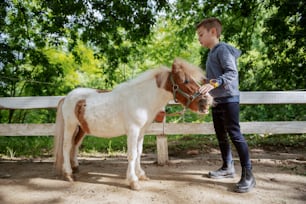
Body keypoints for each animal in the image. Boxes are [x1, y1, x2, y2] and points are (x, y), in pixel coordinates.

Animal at [54, 58, 213, 190]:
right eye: (185, 80)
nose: (206, 102)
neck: (141, 99)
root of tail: (66, 97)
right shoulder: (133, 130)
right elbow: (132, 154)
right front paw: (133, 181)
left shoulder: (141, 131)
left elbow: (139, 152)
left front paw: (141, 174)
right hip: (70, 126)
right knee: (66, 146)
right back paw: (68, 174)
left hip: (82, 129)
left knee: (75, 145)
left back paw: (75, 167)